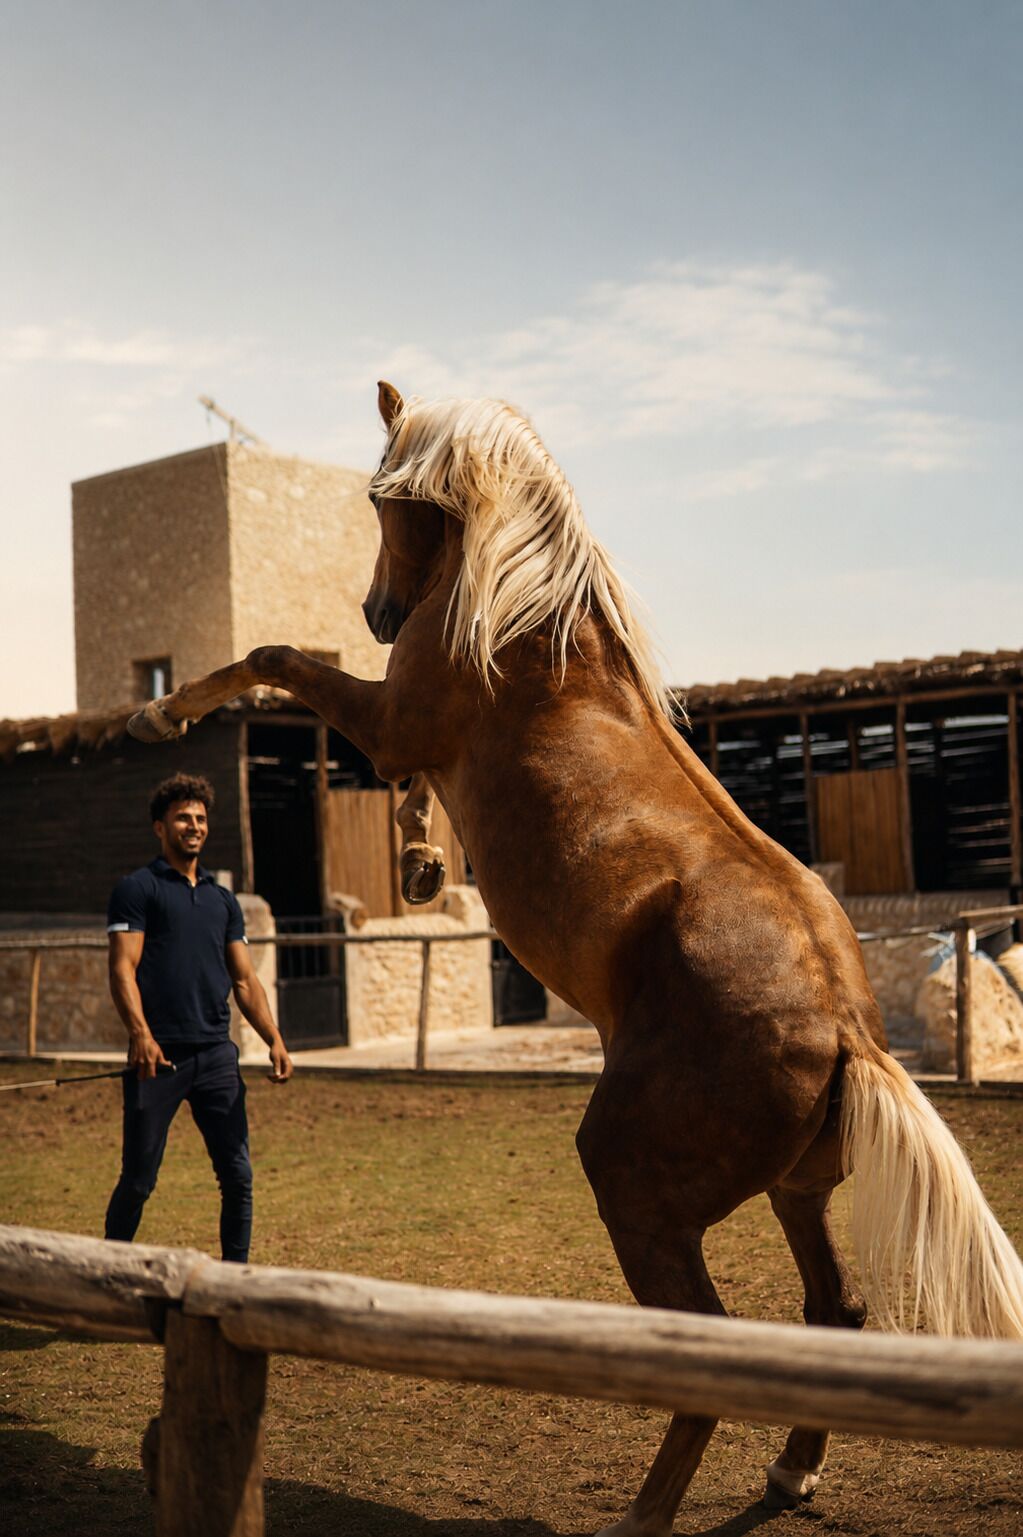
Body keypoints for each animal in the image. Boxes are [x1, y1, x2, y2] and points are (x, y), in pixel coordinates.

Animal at [128, 381, 1023, 1534]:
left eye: (380, 497)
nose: (379, 613)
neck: (529, 625)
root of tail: (848, 1036)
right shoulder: (408, 738)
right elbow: (395, 782)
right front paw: (419, 866)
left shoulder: (391, 715)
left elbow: (276, 659)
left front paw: (162, 709)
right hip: (795, 1191)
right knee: (835, 1312)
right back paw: (789, 1474)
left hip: (638, 1187)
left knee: (711, 1353)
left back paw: (647, 1514)